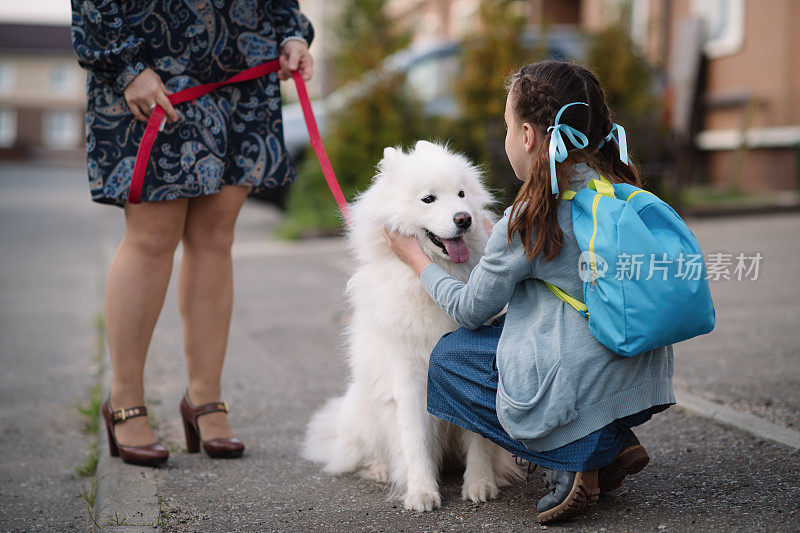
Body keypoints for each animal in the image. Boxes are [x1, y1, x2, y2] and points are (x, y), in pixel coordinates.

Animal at [300, 141, 520, 512]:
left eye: (461, 194)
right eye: (428, 199)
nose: (464, 219)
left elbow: (477, 439)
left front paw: (479, 484)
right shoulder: (408, 377)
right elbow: (413, 440)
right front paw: (420, 492)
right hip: (365, 408)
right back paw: (380, 469)